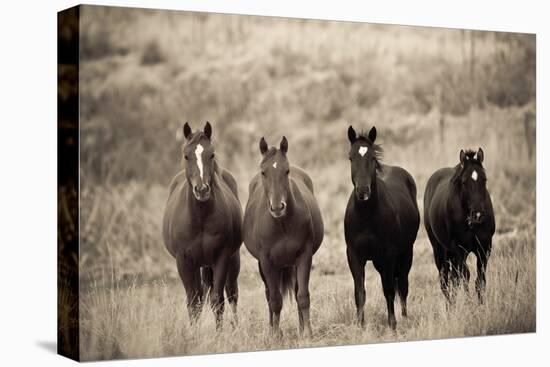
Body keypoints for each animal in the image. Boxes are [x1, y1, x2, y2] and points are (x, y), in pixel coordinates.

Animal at [244, 137, 326, 338]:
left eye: (286, 171)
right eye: (263, 172)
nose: (277, 207)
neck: (281, 224)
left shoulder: (304, 256)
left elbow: (302, 296)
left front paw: (307, 333)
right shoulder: (266, 262)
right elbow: (275, 300)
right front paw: (275, 335)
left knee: (296, 292)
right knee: (269, 295)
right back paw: (272, 328)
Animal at [344, 126, 422, 330]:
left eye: (372, 158)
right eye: (351, 157)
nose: (363, 191)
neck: (367, 217)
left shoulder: (388, 255)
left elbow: (389, 291)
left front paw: (392, 324)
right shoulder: (354, 256)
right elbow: (359, 293)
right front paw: (360, 325)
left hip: (405, 253)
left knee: (402, 285)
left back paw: (404, 317)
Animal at [424, 148, 498, 304]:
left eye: (484, 179)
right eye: (464, 182)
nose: (478, 214)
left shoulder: (484, 248)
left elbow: (479, 281)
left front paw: (480, 305)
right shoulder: (459, 250)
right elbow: (465, 276)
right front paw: (469, 304)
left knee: (453, 279)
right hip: (439, 249)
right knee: (445, 281)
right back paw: (450, 306)